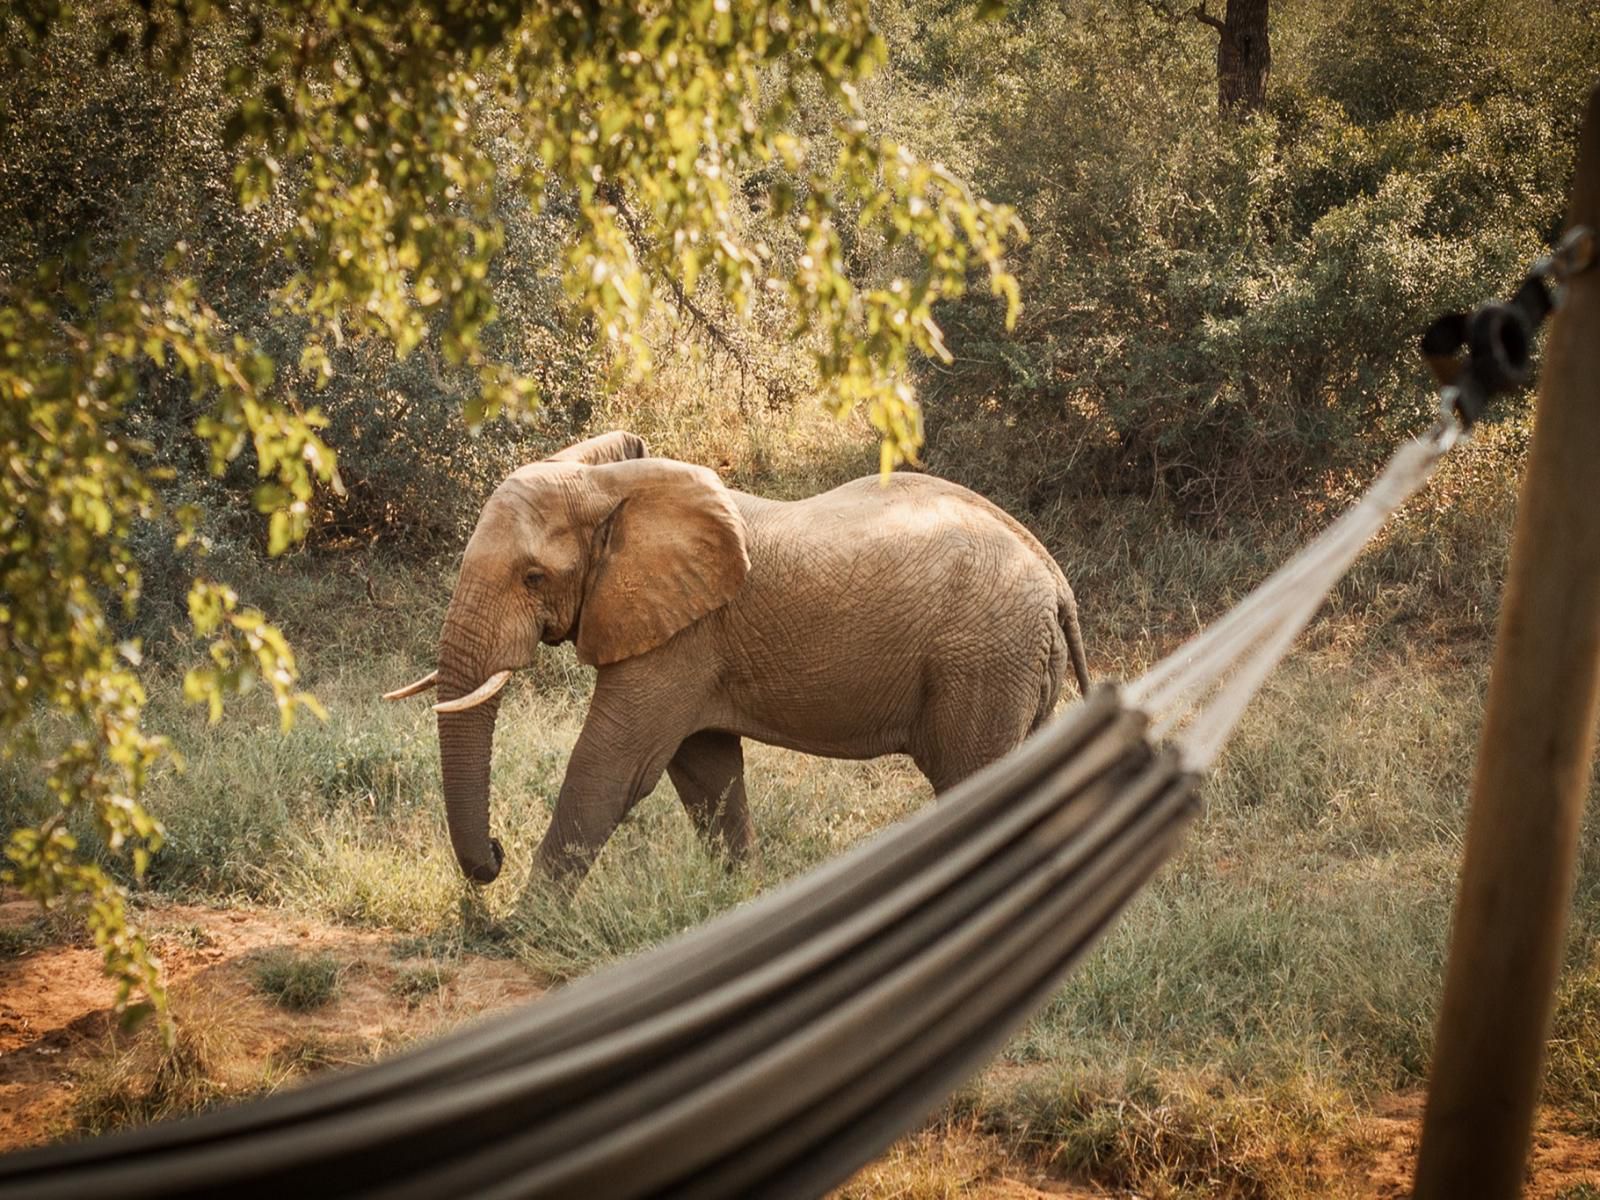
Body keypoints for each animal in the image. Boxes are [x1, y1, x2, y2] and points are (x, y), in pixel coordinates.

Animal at [380, 432, 1094, 896]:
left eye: (533, 577)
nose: (493, 857)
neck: (615, 487)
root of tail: (1056, 579)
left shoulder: (679, 638)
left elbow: (612, 767)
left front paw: (529, 926)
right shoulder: (692, 644)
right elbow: (706, 770)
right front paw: (741, 904)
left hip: (984, 662)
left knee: (974, 783)